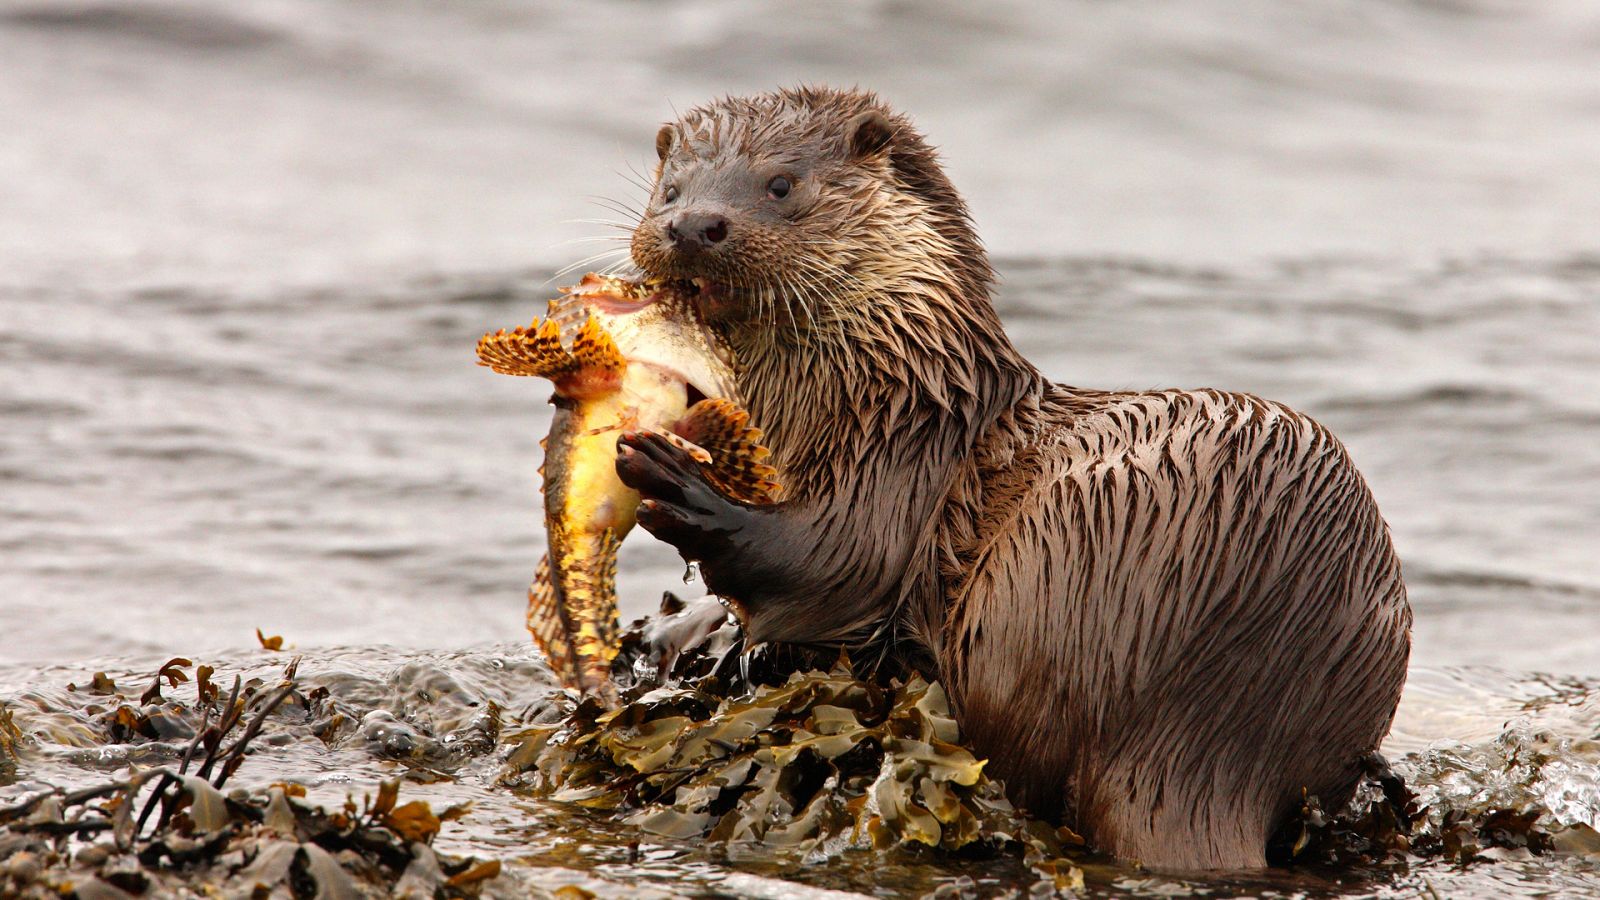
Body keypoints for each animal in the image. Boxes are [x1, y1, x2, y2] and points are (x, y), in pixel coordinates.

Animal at [604, 85, 1408, 871]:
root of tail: (1206, 743)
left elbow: (827, 565)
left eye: (781, 184)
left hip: (1047, 567)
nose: (693, 225)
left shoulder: (898, 470)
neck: (892, 387)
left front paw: (676, 481)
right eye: (670, 190)